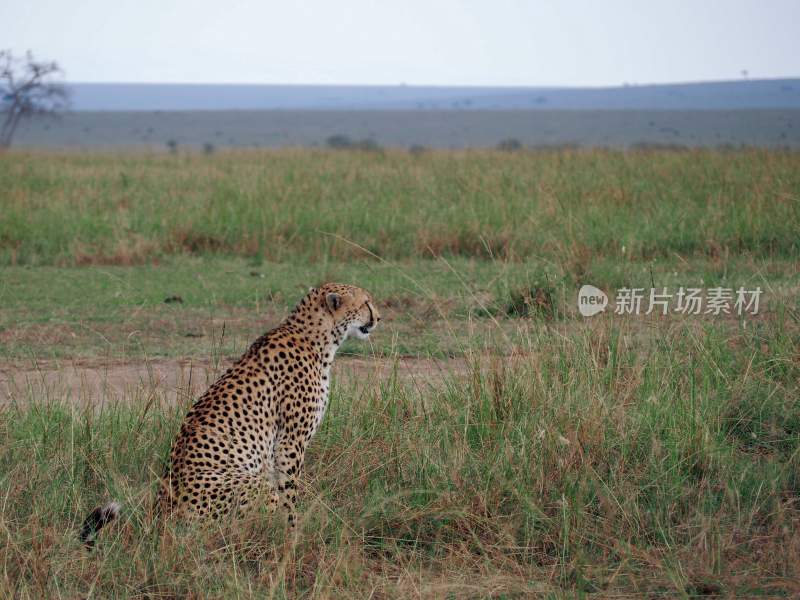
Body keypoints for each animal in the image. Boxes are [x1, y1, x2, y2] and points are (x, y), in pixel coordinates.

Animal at [79, 284, 380, 548]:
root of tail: (162, 515)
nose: (379, 318)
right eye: (366, 302)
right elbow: (290, 492)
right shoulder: (289, 443)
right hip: (250, 485)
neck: (315, 336)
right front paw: (293, 532)